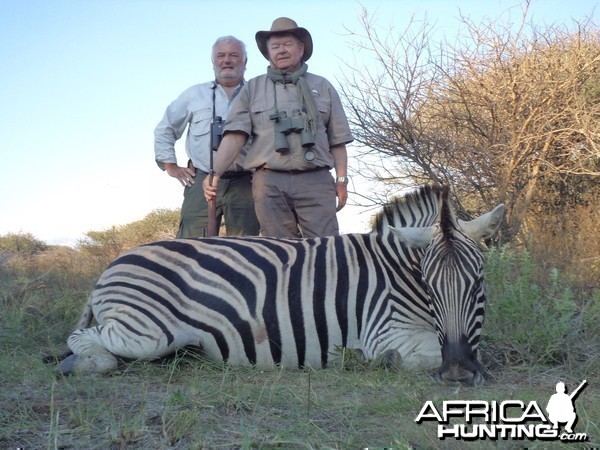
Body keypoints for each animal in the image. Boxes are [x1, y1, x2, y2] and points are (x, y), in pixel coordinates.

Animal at [49, 185, 504, 384]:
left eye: (479, 282)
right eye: (428, 285)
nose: (458, 372)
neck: (395, 269)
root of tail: (112, 264)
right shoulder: (384, 330)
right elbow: (419, 354)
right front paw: (379, 361)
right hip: (147, 331)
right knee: (87, 340)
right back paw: (83, 363)